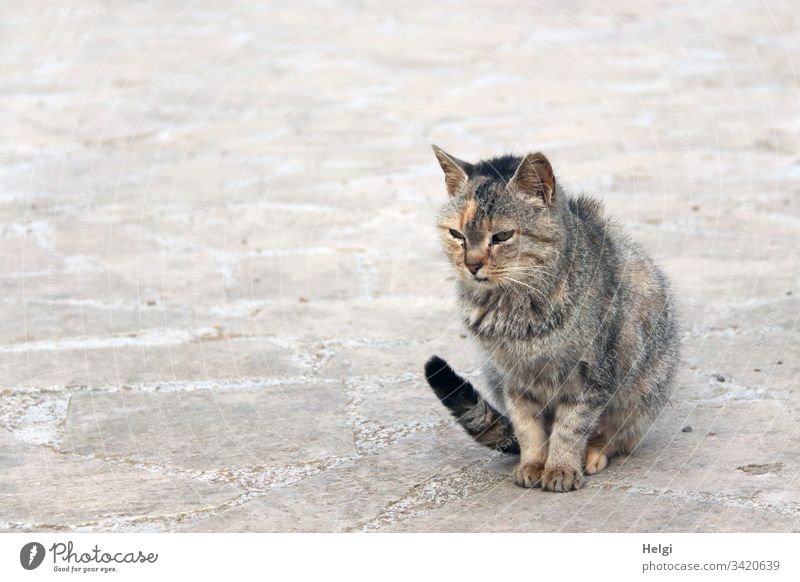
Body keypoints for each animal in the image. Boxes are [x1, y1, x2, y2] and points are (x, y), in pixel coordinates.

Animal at [422, 146, 680, 492]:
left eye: (502, 236)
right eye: (456, 234)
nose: (472, 265)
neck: (515, 310)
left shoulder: (591, 376)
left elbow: (570, 428)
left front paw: (560, 467)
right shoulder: (512, 379)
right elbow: (527, 429)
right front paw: (533, 463)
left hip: (645, 389)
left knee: (620, 436)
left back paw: (594, 454)